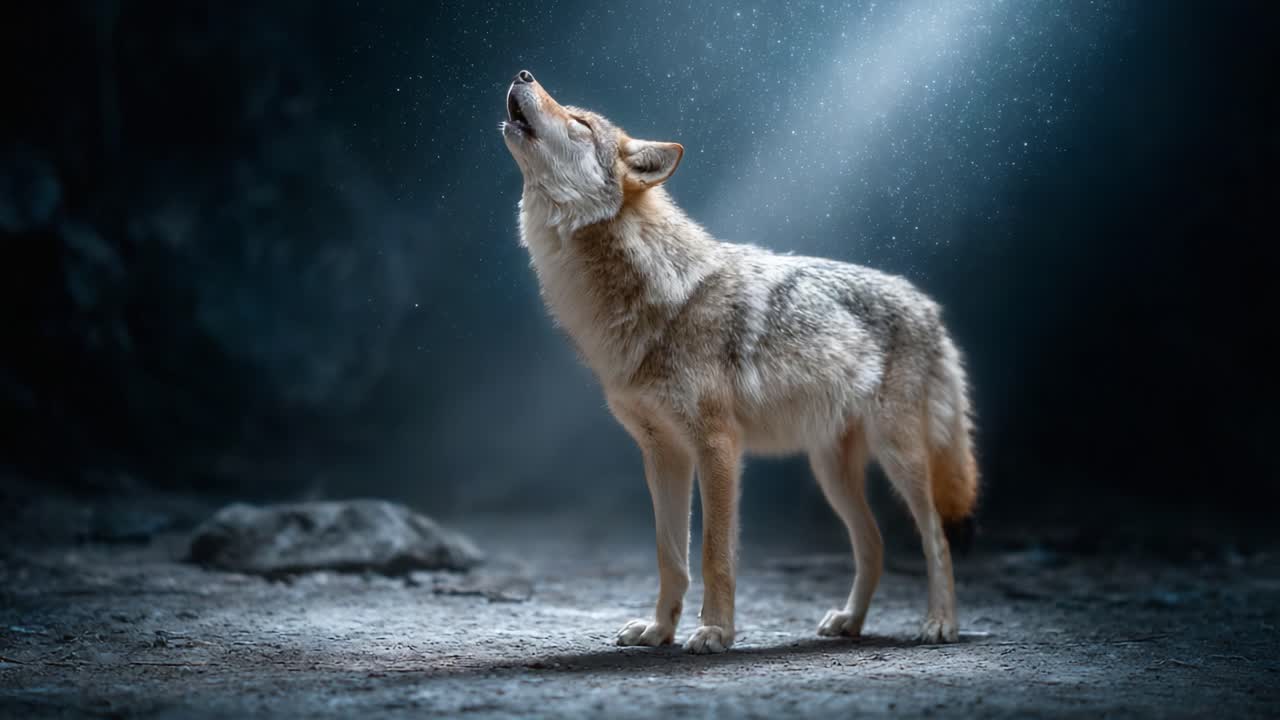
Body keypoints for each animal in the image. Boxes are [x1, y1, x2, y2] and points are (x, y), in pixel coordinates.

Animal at [500, 70, 979, 654]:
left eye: (581, 122)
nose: (523, 74)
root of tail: (927, 306)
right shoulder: (662, 454)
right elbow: (670, 557)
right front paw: (659, 630)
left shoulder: (718, 446)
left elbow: (714, 554)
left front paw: (713, 631)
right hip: (831, 473)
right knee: (875, 543)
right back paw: (849, 622)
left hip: (900, 458)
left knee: (936, 538)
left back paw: (940, 623)